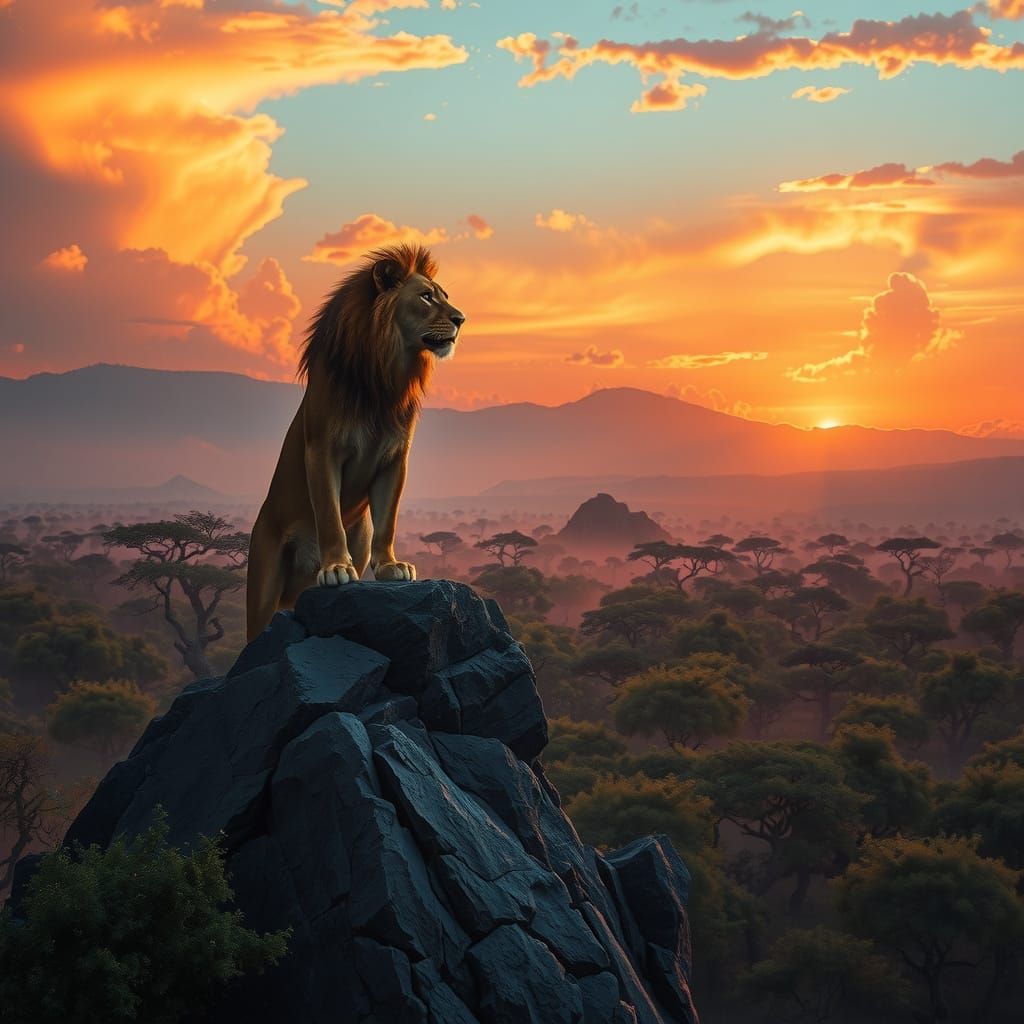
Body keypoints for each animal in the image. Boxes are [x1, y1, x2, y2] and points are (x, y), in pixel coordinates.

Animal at [245, 244, 464, 641]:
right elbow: (329, 514)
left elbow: (388, 519)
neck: (384, 375)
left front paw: (391, 566)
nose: (461, 319)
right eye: (425, 296)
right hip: (264, 577)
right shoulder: (322, 450)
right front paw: (335, 567)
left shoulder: (395, 458)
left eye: (444, 296)